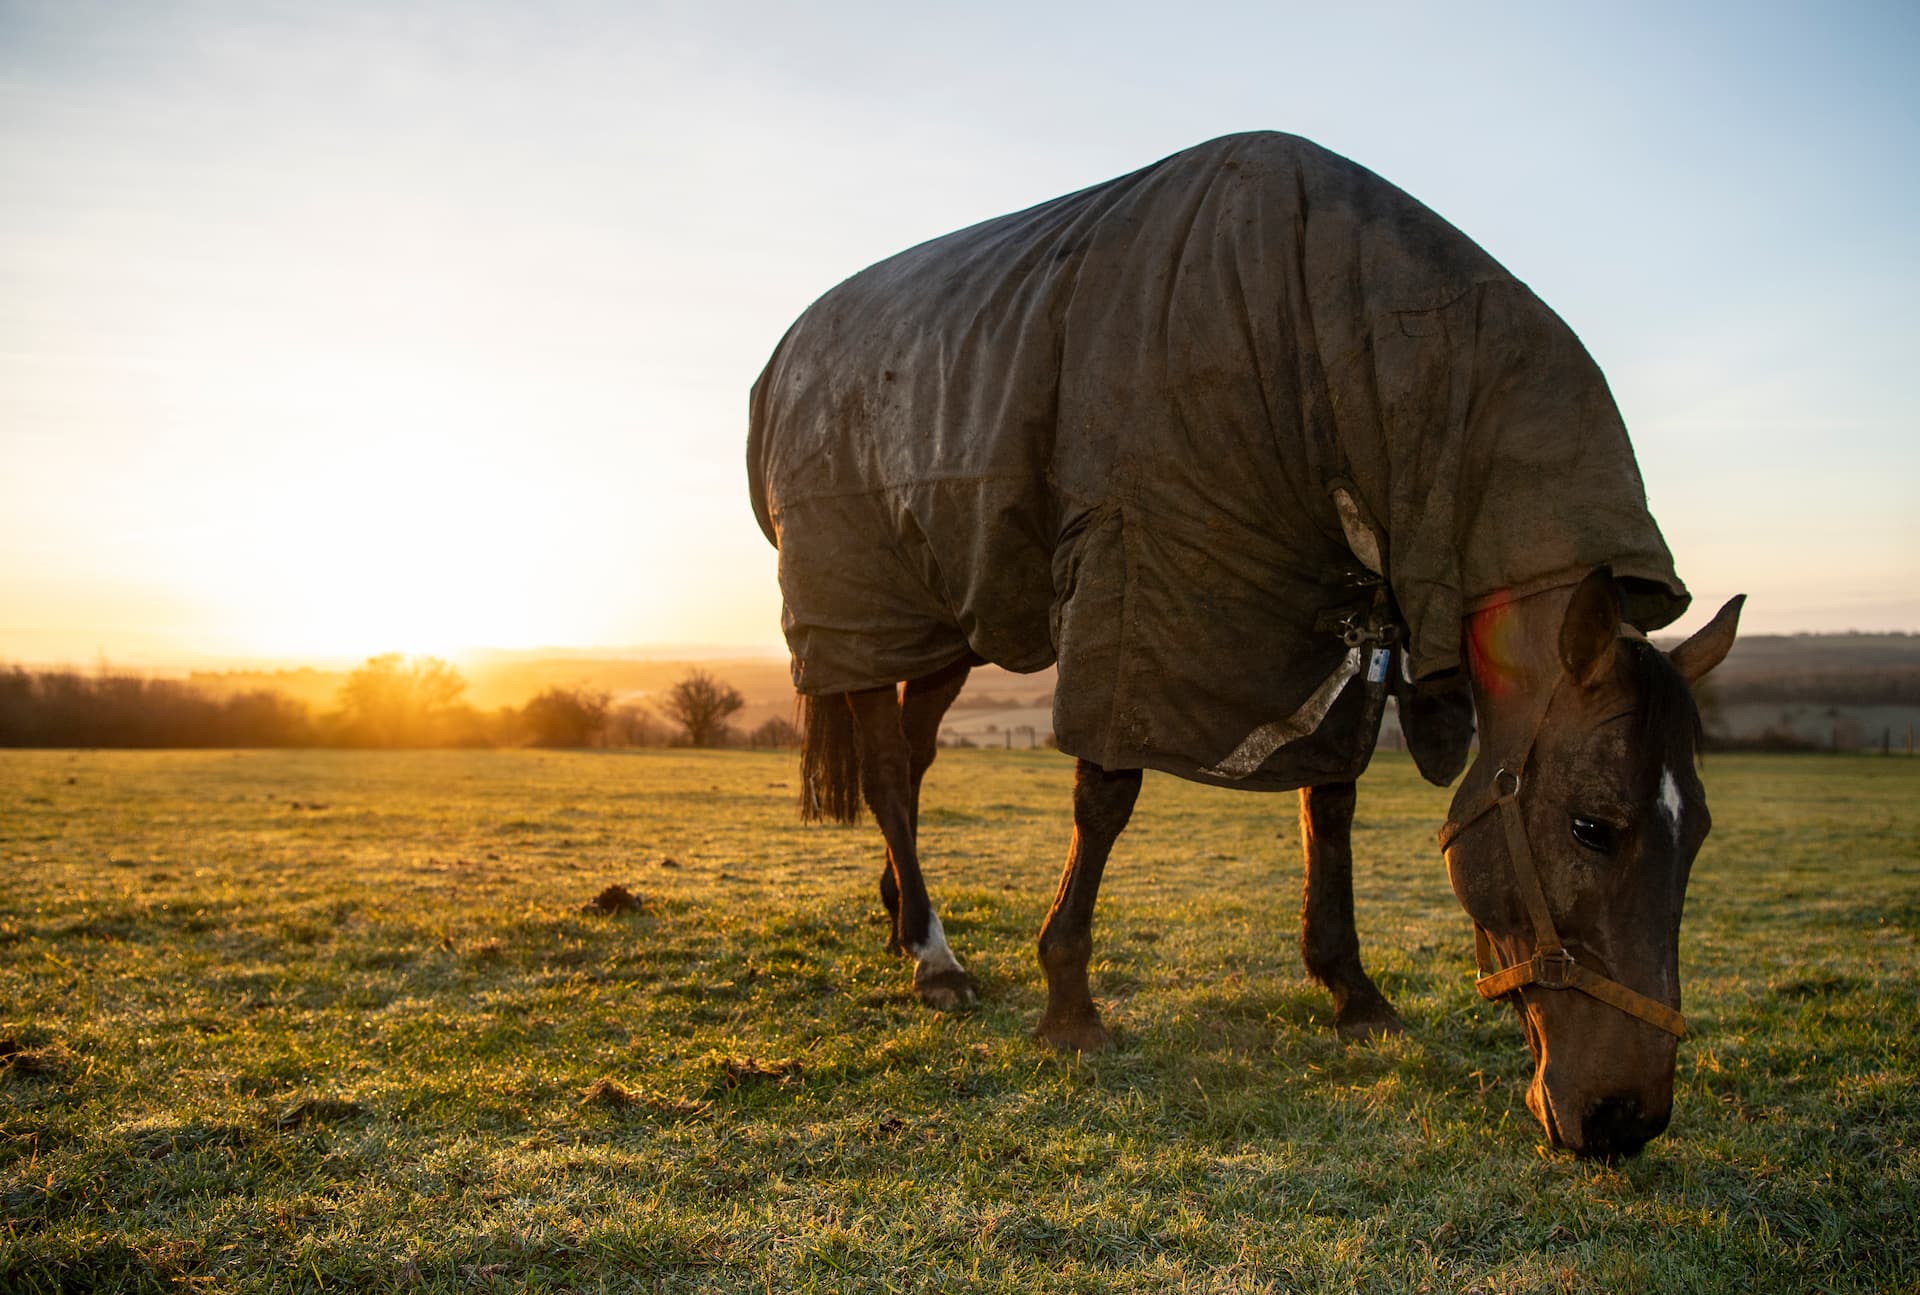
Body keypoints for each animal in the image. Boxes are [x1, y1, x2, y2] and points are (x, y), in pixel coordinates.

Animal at [748, 132, 1743, 1156]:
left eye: (1701, 831)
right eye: (1593, 827)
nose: (1626, 1118)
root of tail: (791, 353)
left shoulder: (1339, 631)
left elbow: (1330, 804)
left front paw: (1353, 991)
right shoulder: (1135, 579)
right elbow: (1106, 795)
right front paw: (1069, 1000)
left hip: (941, 633)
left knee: (910, 762)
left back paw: (903, 917)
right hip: (863, 620)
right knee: (887, 776)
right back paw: (934, 957)